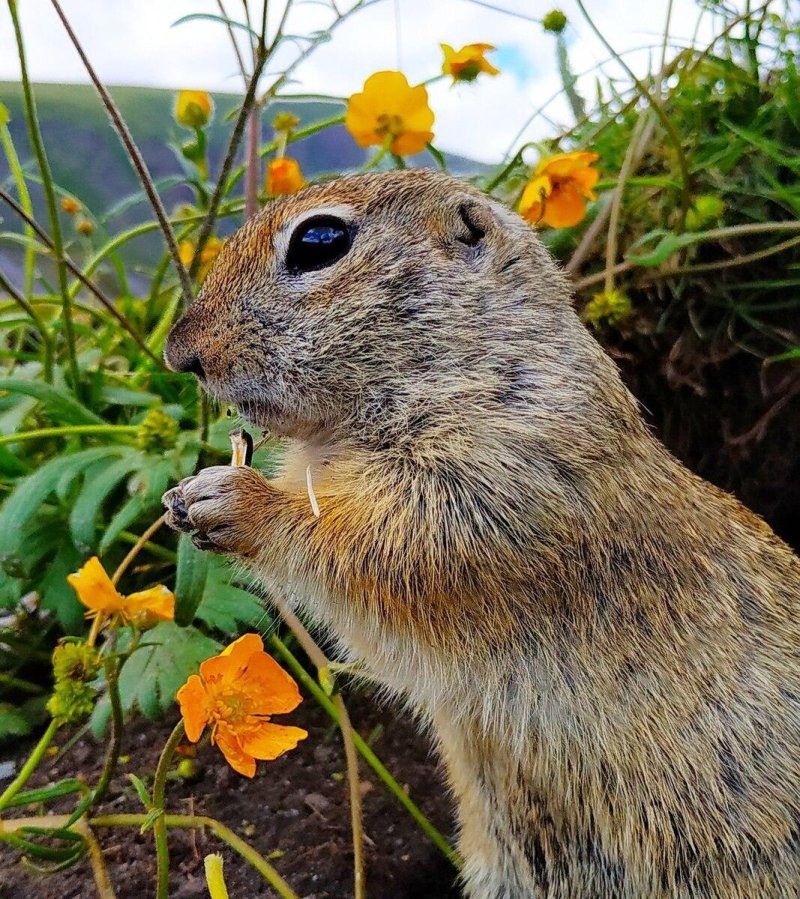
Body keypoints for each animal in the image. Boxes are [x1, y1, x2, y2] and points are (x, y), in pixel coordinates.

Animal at [162, 171, 800, 899]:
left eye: (319, 240)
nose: (180, 353)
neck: (471, 359)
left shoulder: (488, 489)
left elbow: (358, 552)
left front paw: (229, 499)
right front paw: (183, 496)